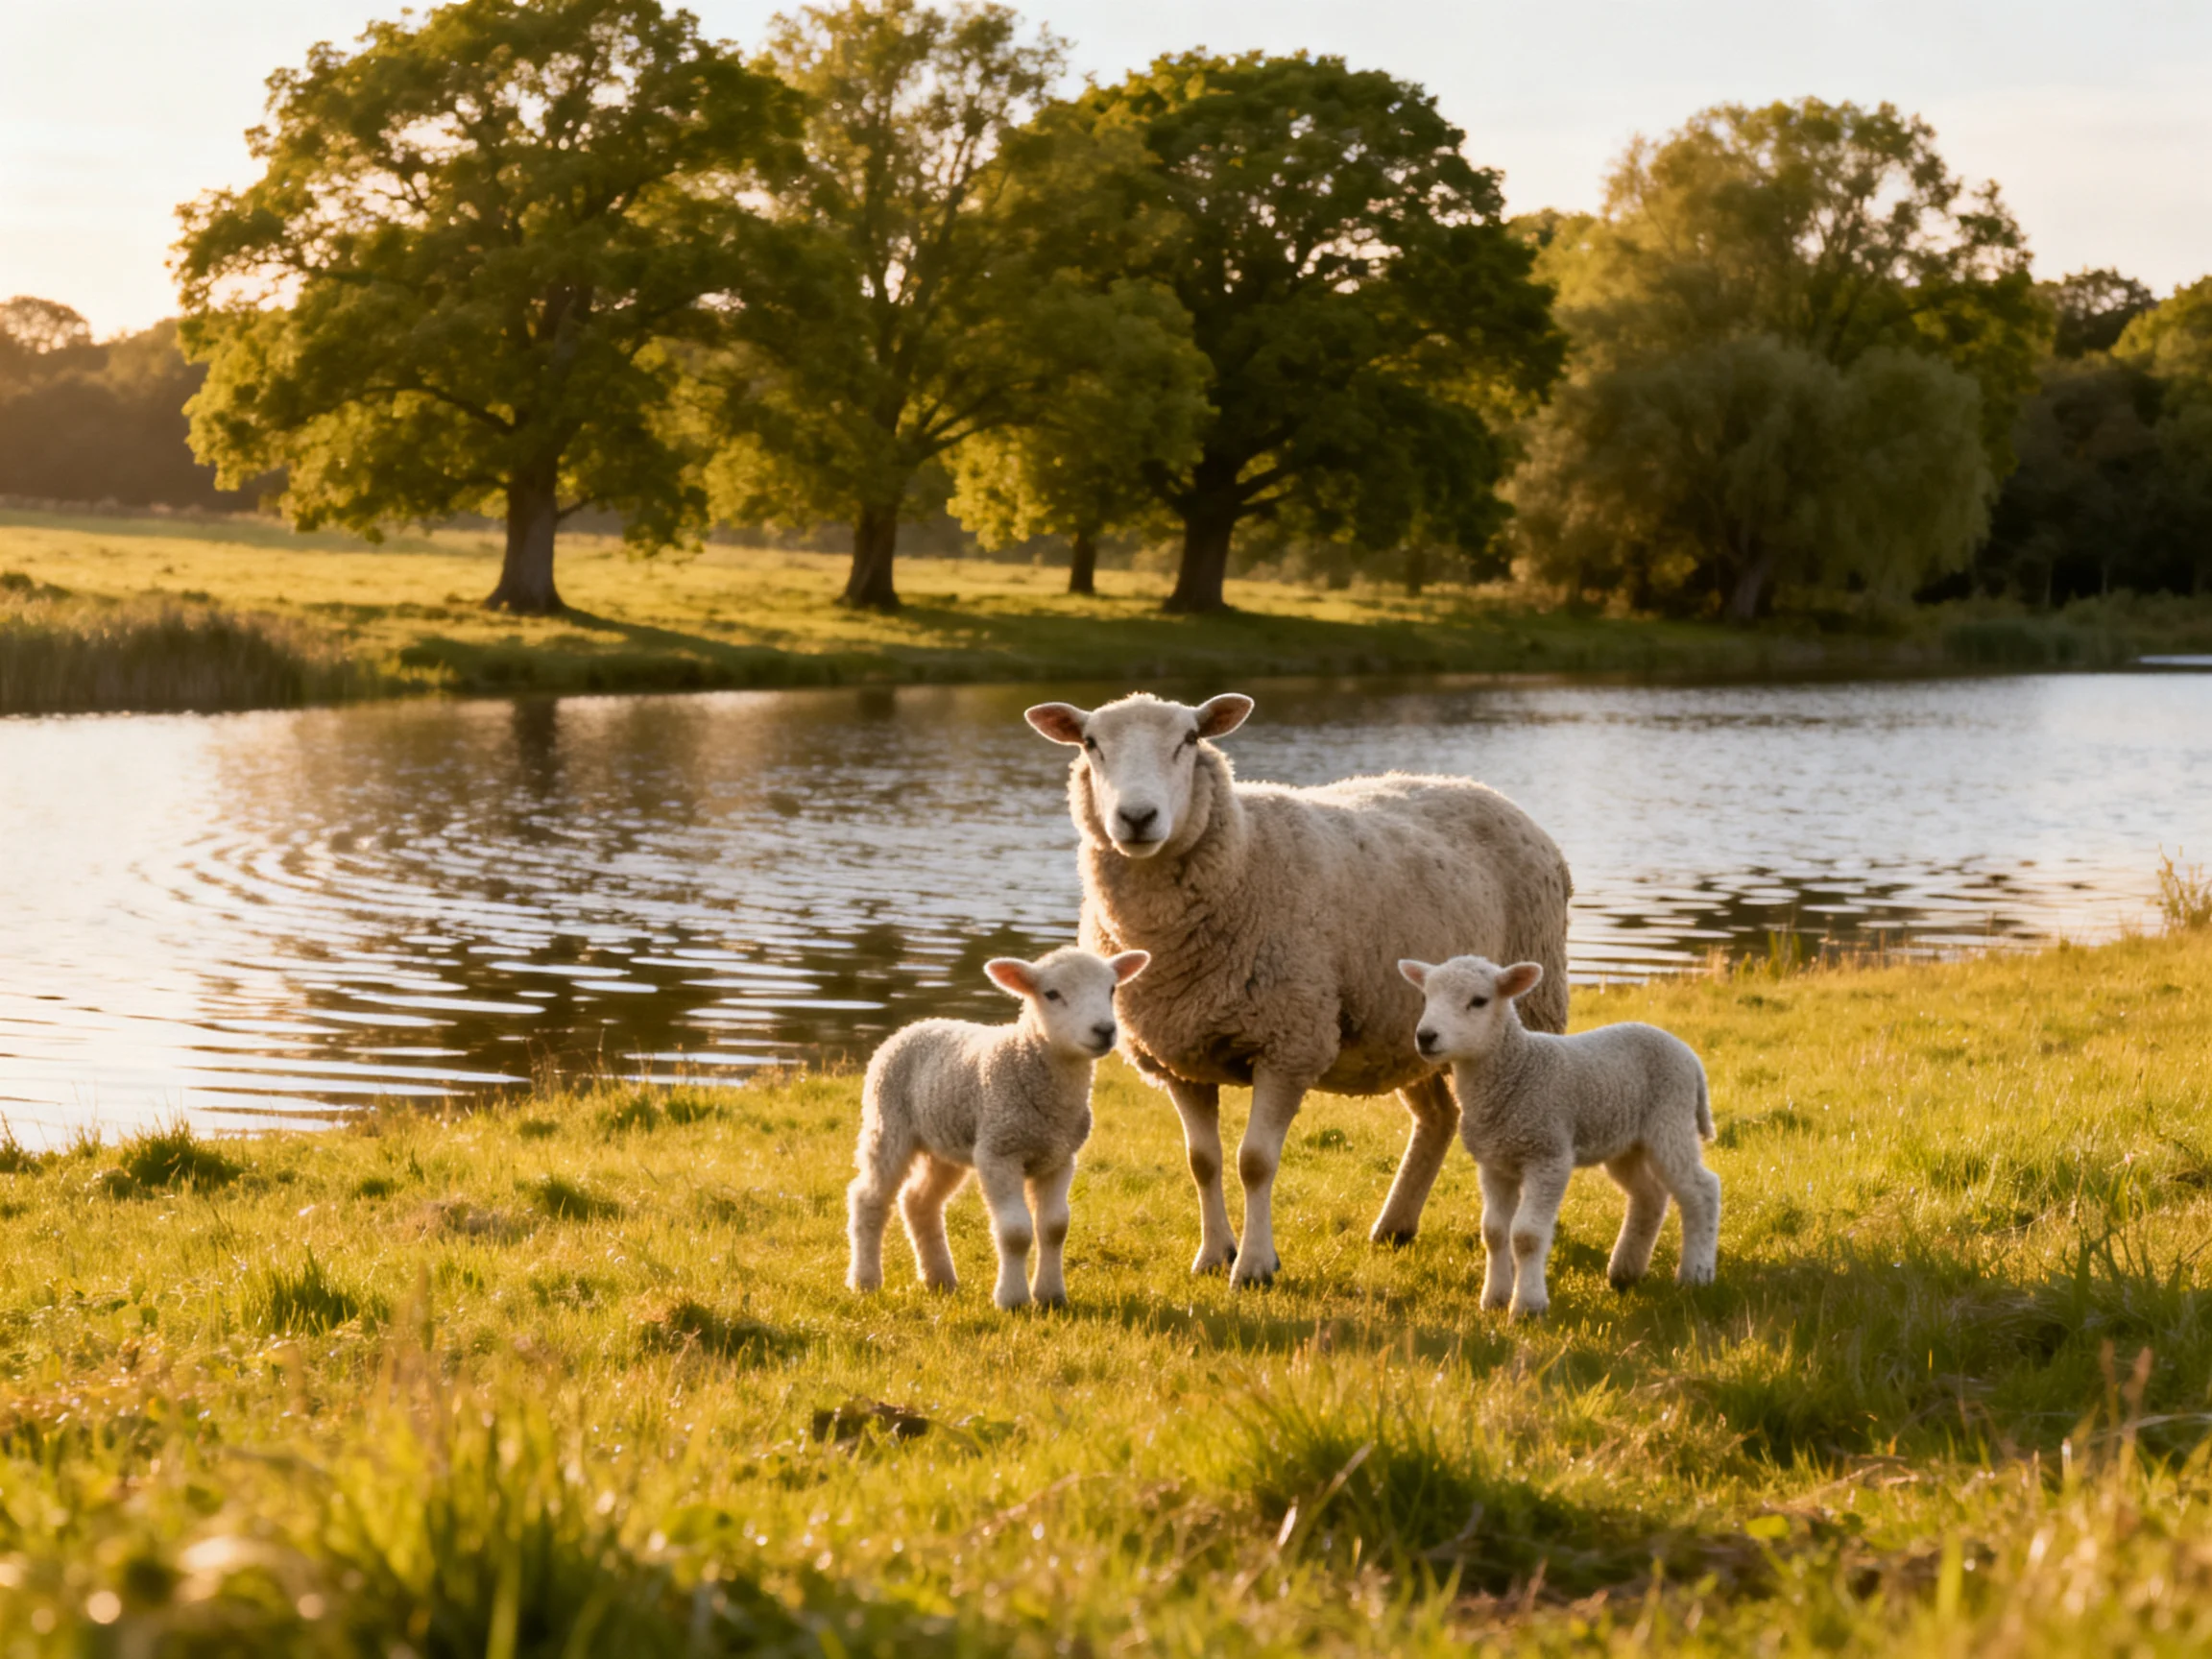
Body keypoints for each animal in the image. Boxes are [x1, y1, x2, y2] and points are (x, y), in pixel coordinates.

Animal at [846, 946, 1149, 1310]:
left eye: (1112, 989)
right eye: (1051, 994)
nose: (1104, 1030)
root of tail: (919, 1023)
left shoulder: (1060, 1157)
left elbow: (1055, 1227)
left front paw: (1050, 1296)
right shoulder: (999, 1151)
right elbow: (1016, 1231)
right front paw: (1012, 1300)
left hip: (945, 1143)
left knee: (919, 1201)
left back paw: (940, 1280)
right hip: (888, 1122)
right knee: (869, 1197)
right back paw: (865, 1281)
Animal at [1024, 691, 1572, 1289]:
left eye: (1189, 740)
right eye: (1090, 744)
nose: (1137, 818)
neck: (1242, 854)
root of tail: (1485, 791)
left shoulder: (1289, 1042)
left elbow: (1255, 1161)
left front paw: (1255, 1266)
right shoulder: (1178, 1055)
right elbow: (1203, 1161)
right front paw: (1213, 1255)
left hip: (1528, 1007)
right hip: (1413, 1029)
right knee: (1437, 1117)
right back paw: (1394, 1226)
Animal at [1398, 954, 1719, 1318]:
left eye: (1478, 1001)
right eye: (1425, 997)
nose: (1426, 1036)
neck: (1516, 1070)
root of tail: (1689, 1055)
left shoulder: (1548, 1155)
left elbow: (1526, 1236)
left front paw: (1528, 1306)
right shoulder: (1494, 1163)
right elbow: (1494, 1232)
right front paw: (1494, 1298)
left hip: (1670, 1120)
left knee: (1702, 1190)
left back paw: (1696, 1274)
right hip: (1625, 1141)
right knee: (1650, 1195)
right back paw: (1625, 1272)